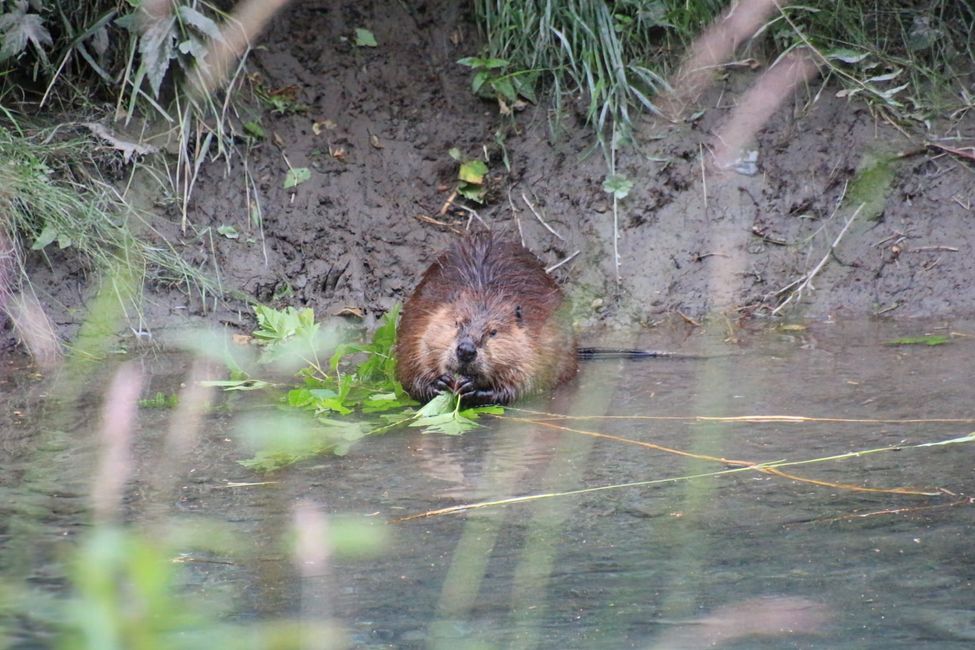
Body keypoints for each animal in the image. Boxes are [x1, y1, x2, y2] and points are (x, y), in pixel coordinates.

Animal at [396, 232, 580, 404]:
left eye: (493, 332)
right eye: (457, 323)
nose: (466, 350)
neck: (483, 295)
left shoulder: (540, 338)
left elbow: (526, 380)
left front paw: (474, 389)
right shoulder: (417, 325)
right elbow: (410, 370)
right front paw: (438, 384)